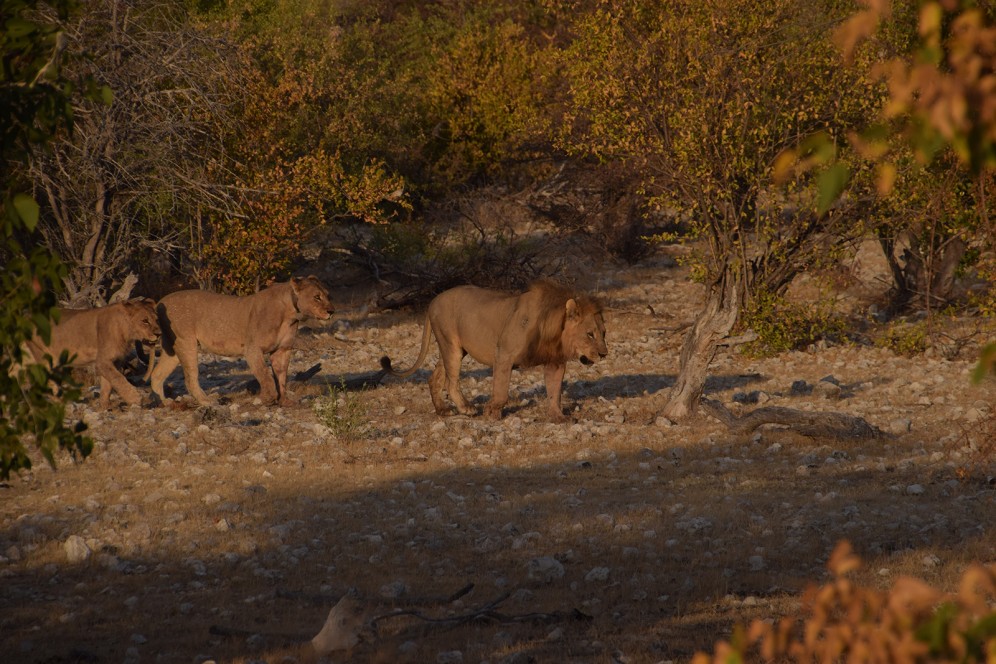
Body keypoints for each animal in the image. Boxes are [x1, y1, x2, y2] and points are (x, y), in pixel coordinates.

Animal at [24, 298, 160, 408]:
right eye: (145, 321)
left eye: (156, 320)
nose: (159, 334)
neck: (126, 331)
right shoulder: (102, 361)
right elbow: (119, 379)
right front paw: (135, 399)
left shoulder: (115, 361)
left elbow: (108, 385)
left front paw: (105, 406)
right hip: (46, 357)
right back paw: (61, 403)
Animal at [149, 274, 334, 404]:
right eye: (317, 297)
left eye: (328, 295)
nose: (331, 311)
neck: (290, 314)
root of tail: (160, 301)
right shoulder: (252, 349)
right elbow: (265, 375)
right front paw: (266, 399)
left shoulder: (282, 350)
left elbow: (282, 377)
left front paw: (285, 401)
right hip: (186, 343)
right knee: (190, 377)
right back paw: (207, 401)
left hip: (172, 348)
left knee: (157, 374)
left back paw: (165, 403)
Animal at [382, 278, 608, 420]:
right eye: (590, 334)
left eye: (604, 333)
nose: (604, 354)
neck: (554, 331)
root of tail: (433, 301)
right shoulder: (504, 354)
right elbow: (501, 391)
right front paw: (492, 412)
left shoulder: (555, 361)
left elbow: (555, 392)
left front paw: (558, 417)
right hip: (451, 346)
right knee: (451, 381)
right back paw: (467, 408)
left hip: (453, 348)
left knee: (434, 377)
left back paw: (443, 410)